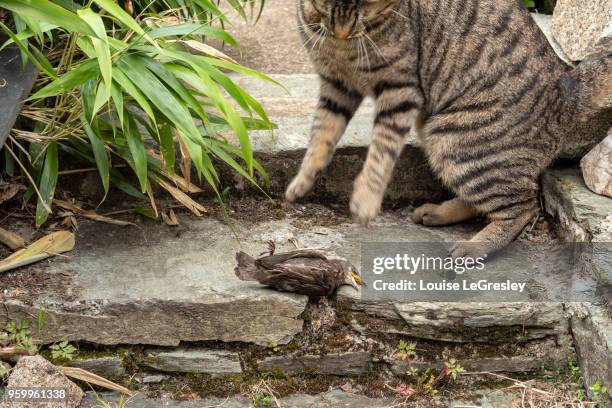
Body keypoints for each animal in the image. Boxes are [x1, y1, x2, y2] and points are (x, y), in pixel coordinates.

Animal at [286, 0, 612, 256]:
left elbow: (380, 153)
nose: (341, 32)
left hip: (456, 140)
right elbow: (321, 135)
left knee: (524, 206)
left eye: (367, 8)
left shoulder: (400, 91)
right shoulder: (337, 85)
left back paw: (475, 246)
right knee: (485, 199)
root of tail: (566, 85)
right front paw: (303, 180)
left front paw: (365, 201)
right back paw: (438, 212)